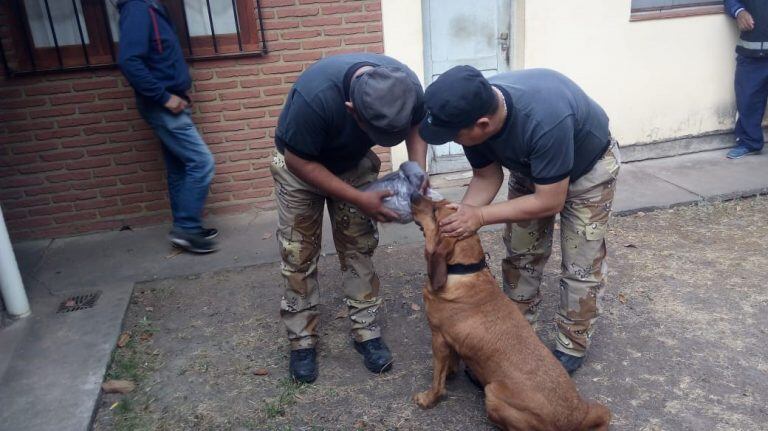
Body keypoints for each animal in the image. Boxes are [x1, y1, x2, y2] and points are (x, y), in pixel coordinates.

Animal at [412, 195, 608, 431]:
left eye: (434, 211)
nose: (412, 195)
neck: (463, 271)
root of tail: (576, 418)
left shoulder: (438, 338)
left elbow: (437, 379)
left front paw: (428, 398)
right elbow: (452, 361)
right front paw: (451, 372)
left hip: (493, 393)